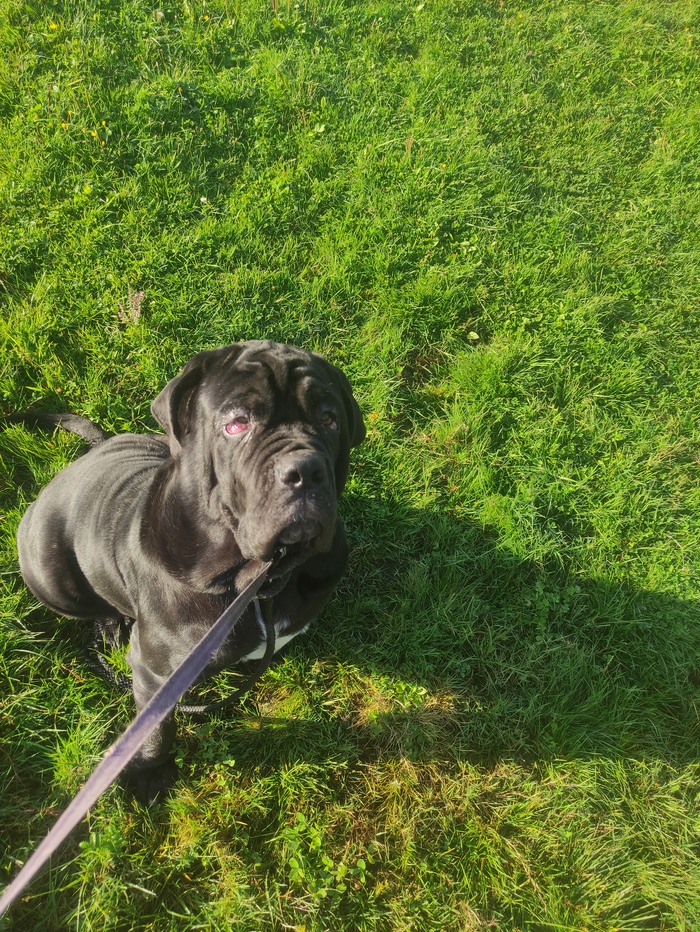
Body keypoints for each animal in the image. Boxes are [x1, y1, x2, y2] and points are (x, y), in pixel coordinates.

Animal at [16, 341, 365, 804]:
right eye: (236, 424)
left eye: (329, 419)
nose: (305, 470)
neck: (258, 580)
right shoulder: (154, 675)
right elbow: (155, 728)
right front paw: (150, 770)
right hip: (44, 568)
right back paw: (109, 625)